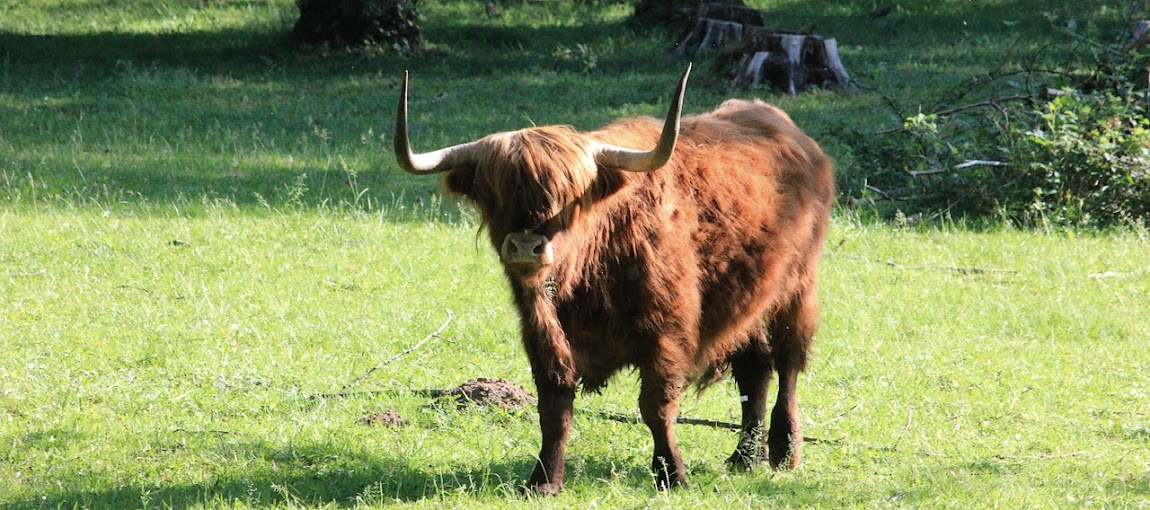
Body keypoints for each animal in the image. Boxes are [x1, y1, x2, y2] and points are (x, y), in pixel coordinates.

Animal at [391, 64, 832, 495]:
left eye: (567, 195)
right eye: (494, 192)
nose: (525, 247)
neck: (589, 271)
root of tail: (789, 131)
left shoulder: (668, 330)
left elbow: (655, 405)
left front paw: (671, 473)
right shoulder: (543, 334)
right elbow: (554, 408)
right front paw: (544, 480)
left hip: (798, 285)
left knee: (788, 363)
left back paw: (784, 450)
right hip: (747, 296)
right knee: (755, 368)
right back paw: (744, 456)